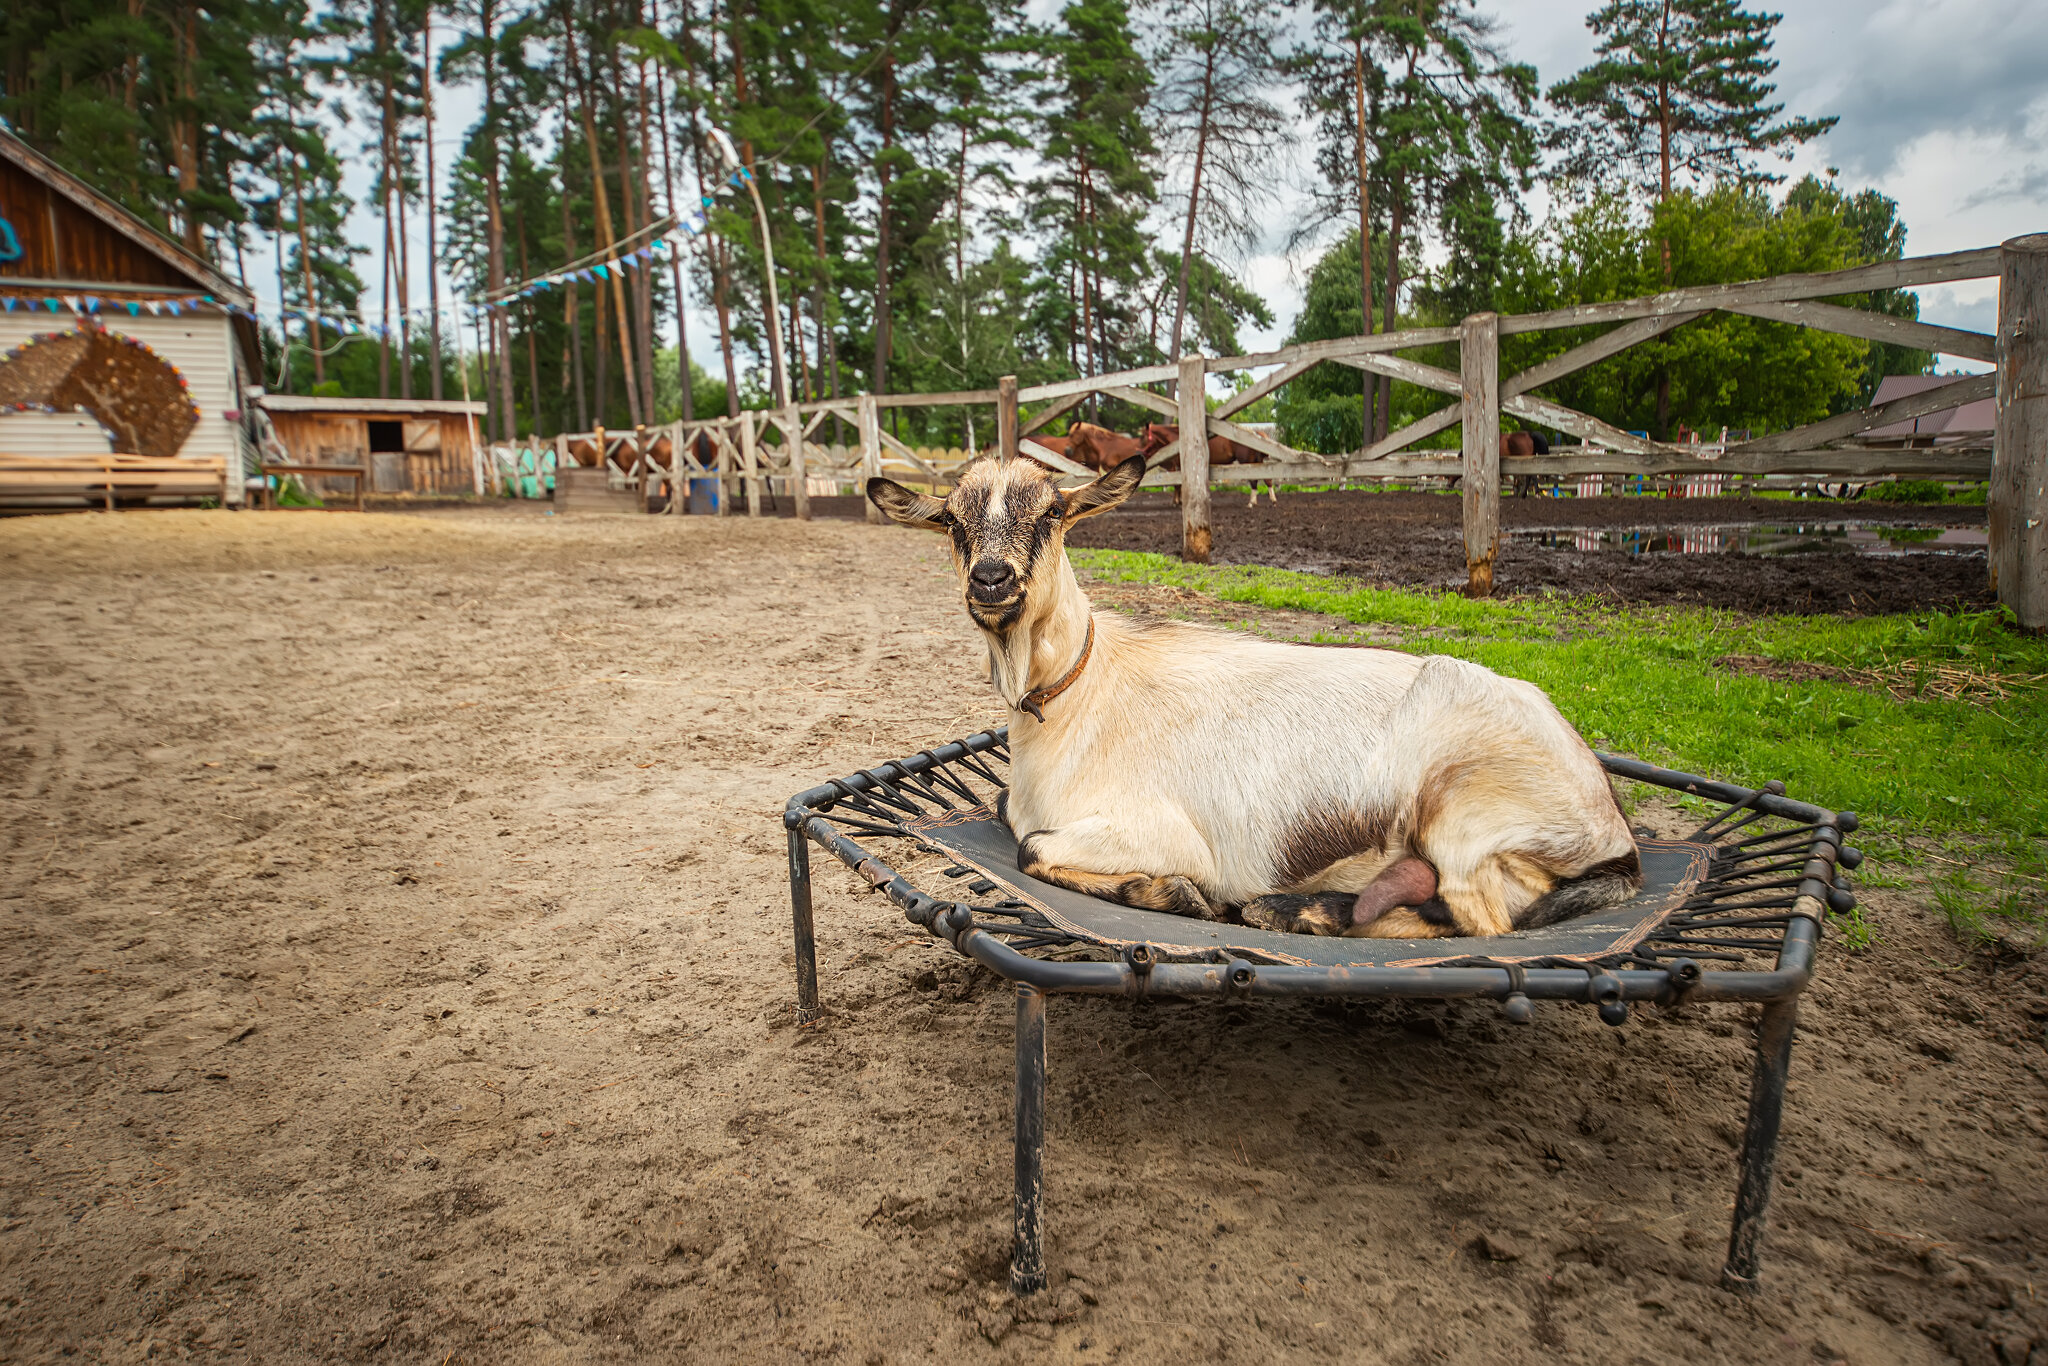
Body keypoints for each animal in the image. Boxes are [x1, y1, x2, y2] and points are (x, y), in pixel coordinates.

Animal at [866, 455, 1640, 939]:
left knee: (1485, 918)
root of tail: (1613, 825)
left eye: (1053, 512)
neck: (1078, 696)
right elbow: (1010, 821)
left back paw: (1297, 915)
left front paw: (1174, 894)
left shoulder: (1160, 832)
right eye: (952, 521)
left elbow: (1031, 850)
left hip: (1461, 810)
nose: (991, 579)